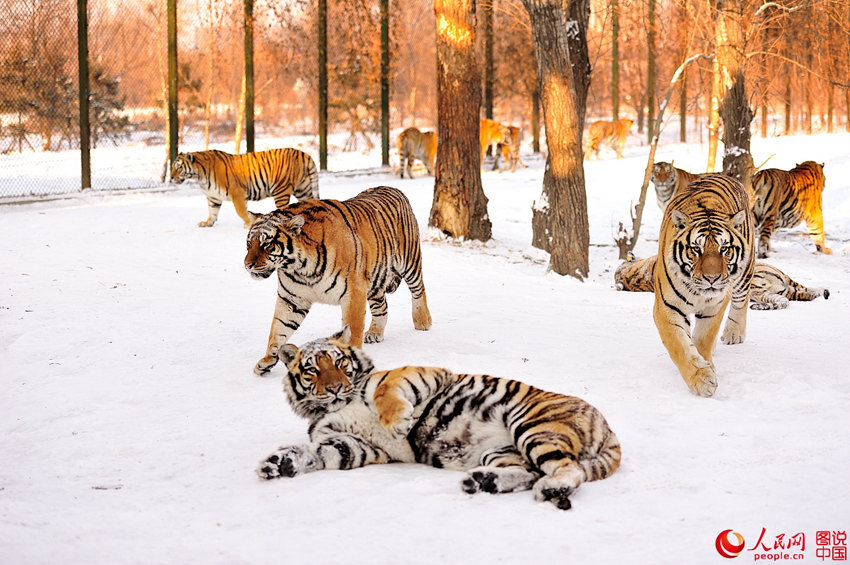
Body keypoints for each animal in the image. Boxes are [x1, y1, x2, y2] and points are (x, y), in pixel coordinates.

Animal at [169, 150, 318, 229]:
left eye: (179, 167)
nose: (170, 177)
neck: (200, 176)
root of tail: (303, 153)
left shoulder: (237, 193)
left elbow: (241, 211)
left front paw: (249, 223)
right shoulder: (213, 197)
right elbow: (212, 211)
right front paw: (207, 223)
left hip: (281, 190)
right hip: (303, 189)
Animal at [255, 326, 620, 512]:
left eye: (339, 362)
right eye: (313, 370)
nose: (334, 388)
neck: (332, 407)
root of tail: (609, 429)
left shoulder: (422, 373)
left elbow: (384, 391)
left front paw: (398, 422)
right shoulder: (356, 444)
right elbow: (319, 454)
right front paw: (281, 463)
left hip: (533, 425)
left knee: (568, 469)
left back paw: (550, 487)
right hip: (503, 451)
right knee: (529, 473)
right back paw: (483, 482)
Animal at [652, 173, 752, 396]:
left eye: (725, 249)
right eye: (696, 249)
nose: (712, 278)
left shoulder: (714, 305)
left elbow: (703, 338)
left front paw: (707, 368)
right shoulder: (667, 308)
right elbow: (679, 345)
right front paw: (701, 379)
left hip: (744, 272)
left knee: (742, 299)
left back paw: (734, 333)